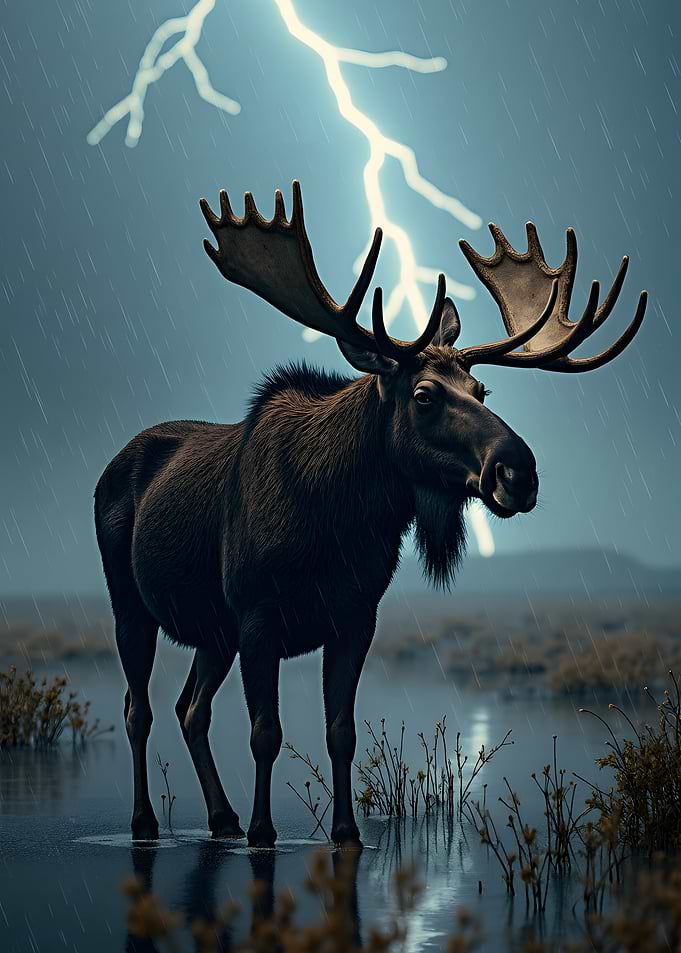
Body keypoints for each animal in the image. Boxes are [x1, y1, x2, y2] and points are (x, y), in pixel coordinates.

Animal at [94, 181, 647, 848]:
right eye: (425, 395)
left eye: (482, 391)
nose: (518, 471)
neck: (338, 525)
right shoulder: (257, 615)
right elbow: (265, 733)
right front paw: (263, 831)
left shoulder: (354, 617)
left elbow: (341, 732)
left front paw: (346, 832)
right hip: (132, 605)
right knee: (140, 709)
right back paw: (146, 821)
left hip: (213, 631)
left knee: (190, 708)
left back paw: (221, 818)